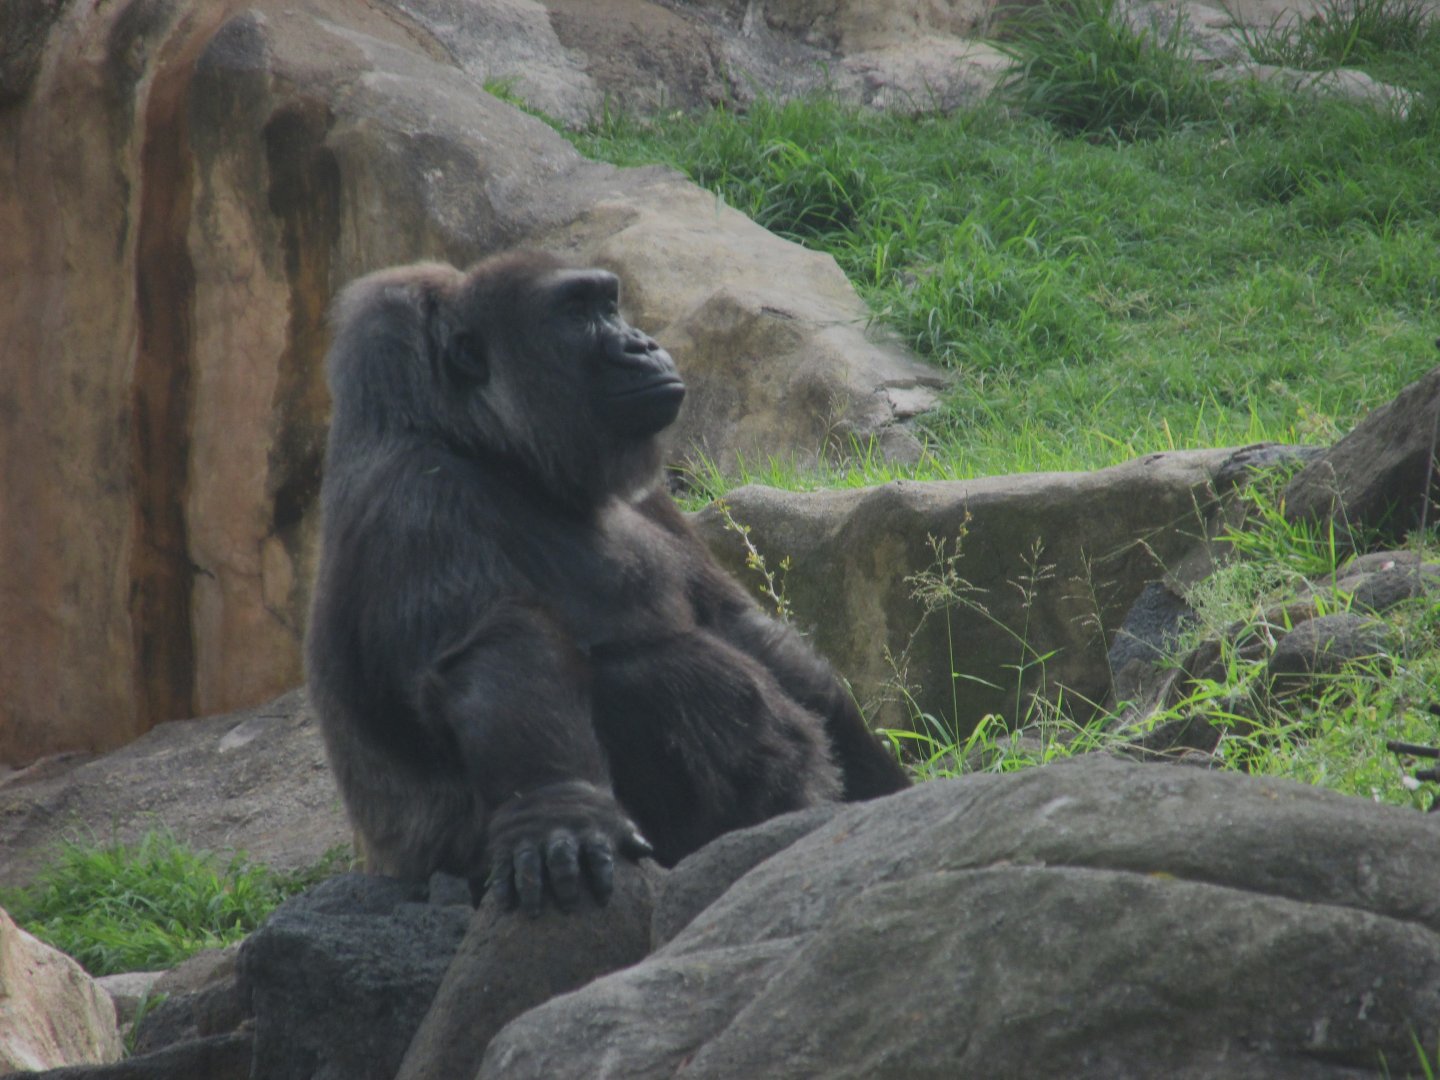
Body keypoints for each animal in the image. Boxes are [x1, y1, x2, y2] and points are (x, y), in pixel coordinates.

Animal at [305, 250, 910, 916]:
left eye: (609, 304)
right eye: (576, 312)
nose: (640, 344)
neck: (480, 442)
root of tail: (387, 872)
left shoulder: (651, 493)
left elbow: (741, 627)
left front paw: (878, 777)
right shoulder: (418, 499)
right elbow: (502, 646)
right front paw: (558, 809)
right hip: (446, 867)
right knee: (658, 679)